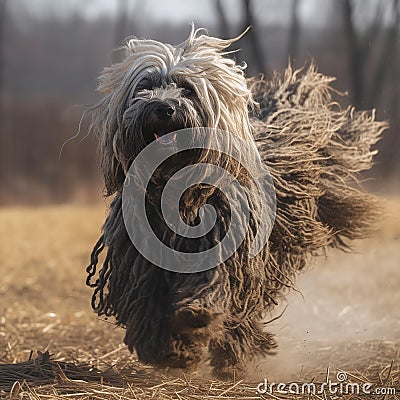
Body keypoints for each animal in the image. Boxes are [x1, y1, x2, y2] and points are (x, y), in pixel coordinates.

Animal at [86, 27, 386, 378]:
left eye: (186, 89)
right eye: (144, 86)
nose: (163, 108)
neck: (176, 189)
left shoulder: (223, 245)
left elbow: (211, 285)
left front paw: (196, 317)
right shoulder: (140, 264)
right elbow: (147, 305)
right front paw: (168, 349)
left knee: (242, 314)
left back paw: (233, 355)